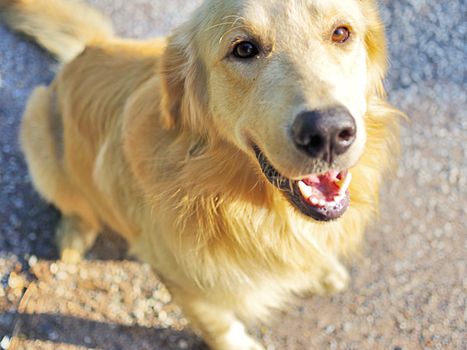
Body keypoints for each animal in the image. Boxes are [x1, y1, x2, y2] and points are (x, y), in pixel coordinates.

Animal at [0, 1, 402, 348]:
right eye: (244, 49)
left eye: (341, 33)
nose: (328, 133)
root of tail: (85, 50)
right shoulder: (178, 274)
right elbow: (217, 322)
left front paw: (321, 270)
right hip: (36, 129)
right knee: (75, 204)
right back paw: (74, 235)